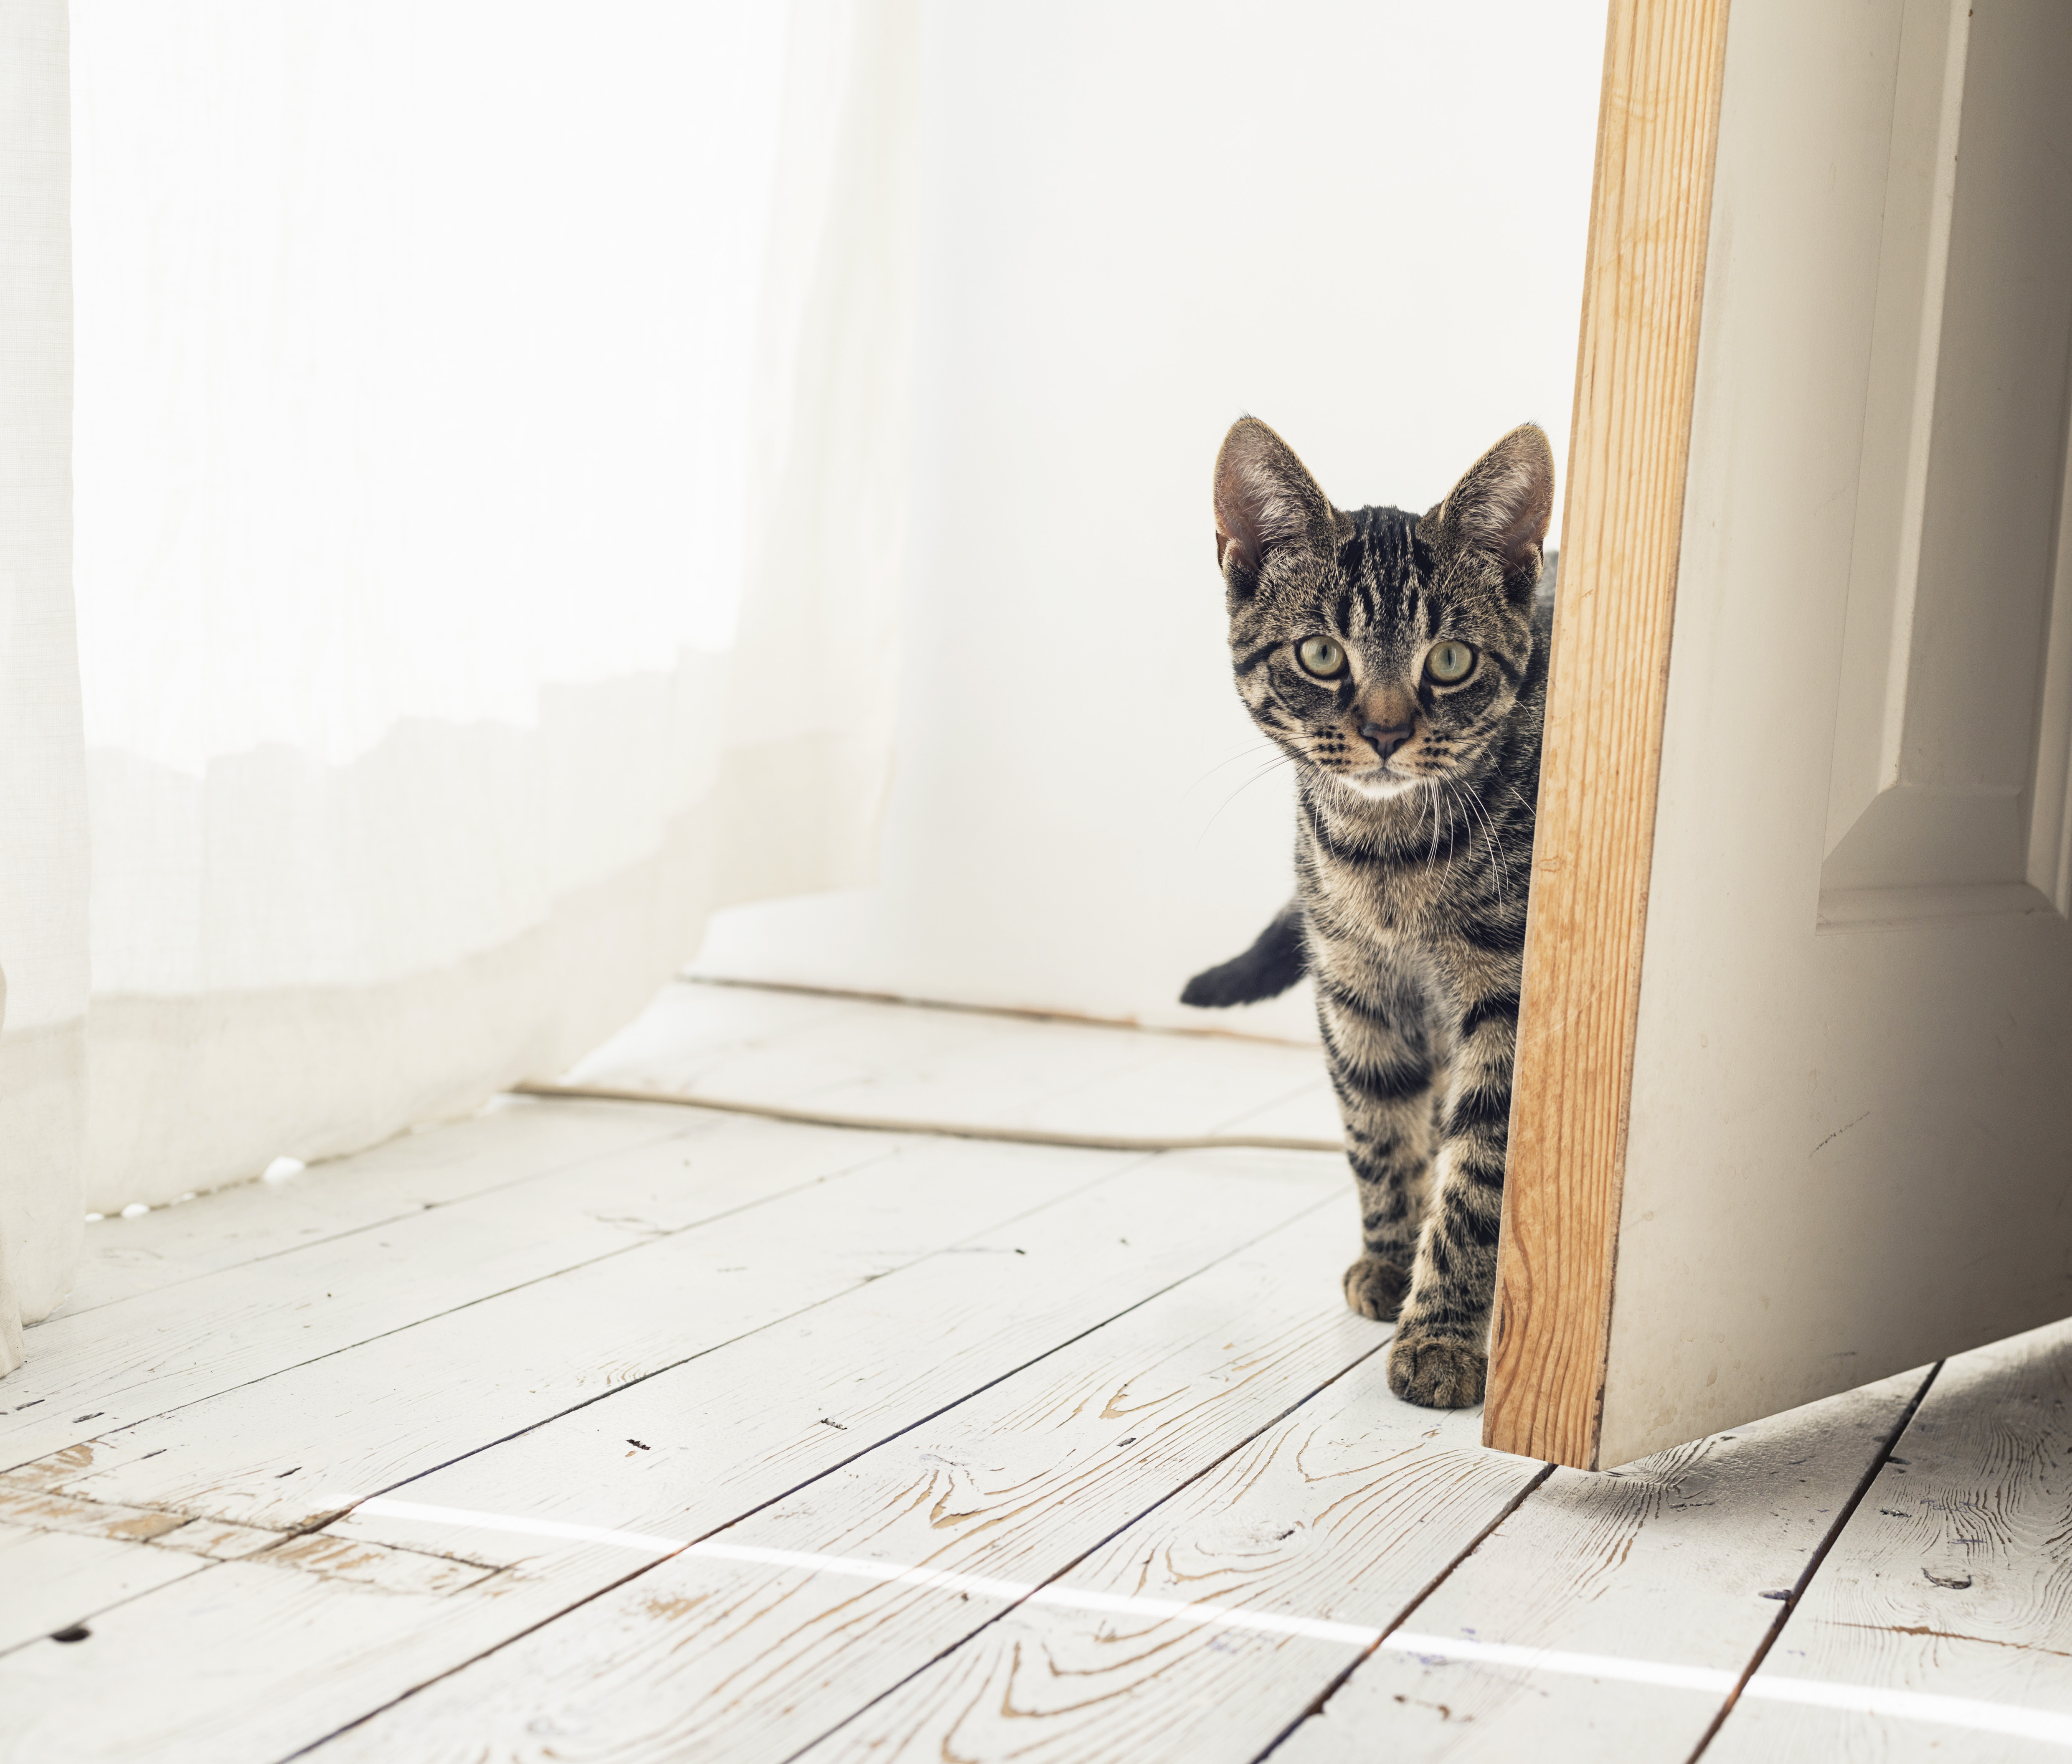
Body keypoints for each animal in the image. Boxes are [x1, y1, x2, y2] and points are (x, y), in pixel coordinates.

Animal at [1185, 414, 1558, 1409]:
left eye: (1450, 660)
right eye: (1321, 655)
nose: (1386, 732)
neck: (1387, 857)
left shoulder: (1507, 999)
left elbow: (1479, 1173)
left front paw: (1441, 1333)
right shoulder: (1352, 983)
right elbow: (1378, 1127)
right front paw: (1392, 1259)